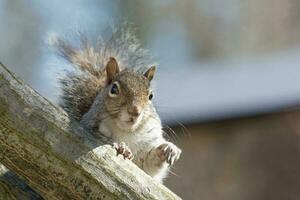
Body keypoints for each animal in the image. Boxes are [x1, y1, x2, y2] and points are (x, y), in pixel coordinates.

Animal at [50, 22, 182, 182]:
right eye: (114, 89)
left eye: (151, 96)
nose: (135, 111)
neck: (126, 131)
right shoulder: (89, 127)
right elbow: (100, 138)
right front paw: (122, 148)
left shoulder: (148, 144)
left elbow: (150, 165)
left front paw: (169, 148)